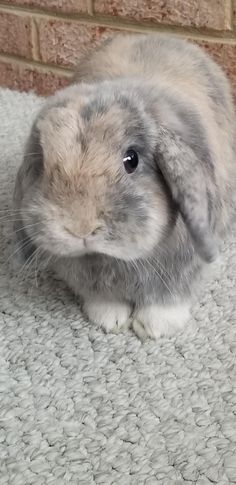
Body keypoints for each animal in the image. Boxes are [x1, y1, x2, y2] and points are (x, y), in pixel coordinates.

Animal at [13, 34, 236, 338]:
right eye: (43, 165)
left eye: (132, 159)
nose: (80, 228)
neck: (112, 260)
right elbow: (103, 299)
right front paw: (109, 319)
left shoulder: (182, 271)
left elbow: (168, 299)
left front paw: (153, 327)